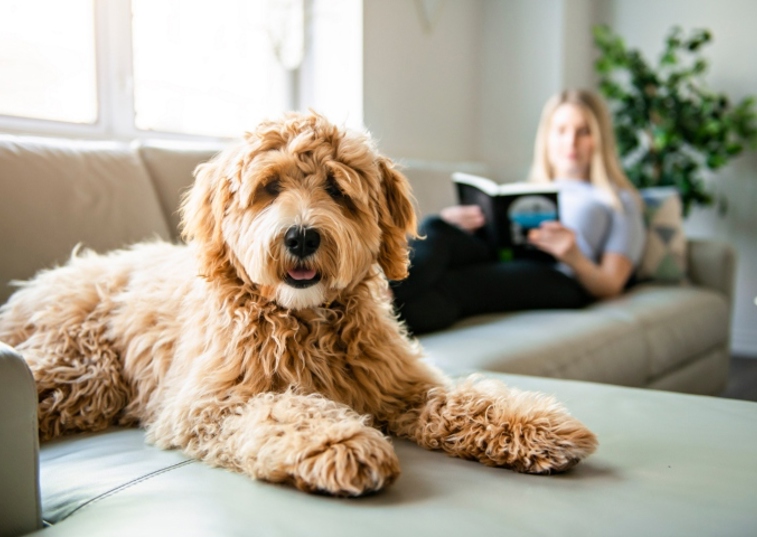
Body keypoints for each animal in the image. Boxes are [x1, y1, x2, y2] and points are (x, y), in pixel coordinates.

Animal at [0, 112, 596, 494]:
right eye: (268, 187)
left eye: (336, 189)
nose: (302, 236)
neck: (305, 319)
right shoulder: (208, 404)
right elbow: (284, 408)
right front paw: (340, 442)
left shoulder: (401, 384)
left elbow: (462, 399)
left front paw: (535, 425)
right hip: (83, 371)